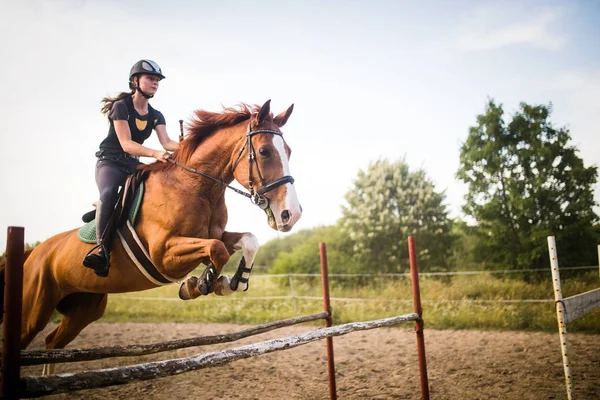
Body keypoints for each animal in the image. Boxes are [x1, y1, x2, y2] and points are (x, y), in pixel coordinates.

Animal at [0, 100, 300, 360]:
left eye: (289, 151)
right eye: (264, 151)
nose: (291, 214)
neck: (196, 186)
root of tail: (33, 253)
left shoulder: (211, 236)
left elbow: (247, 241)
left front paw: (231, 282)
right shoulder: (164, 255)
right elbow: (217, 251)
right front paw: (199, 284)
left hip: (83, 309)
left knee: (52, 343)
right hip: (33, 309)